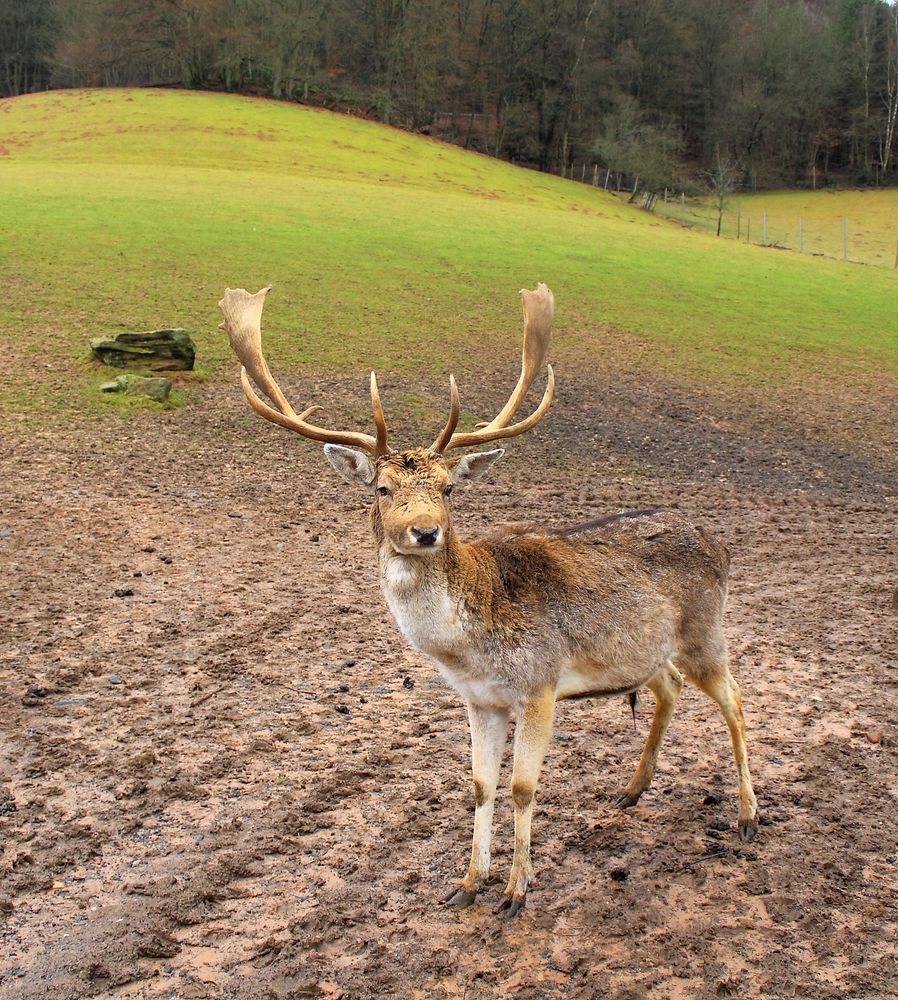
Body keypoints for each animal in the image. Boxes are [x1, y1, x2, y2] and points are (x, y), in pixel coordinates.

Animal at [217, 280, 756, 916]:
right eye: (382, 488)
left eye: (448, 488)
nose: (425, 531)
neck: (468, 647)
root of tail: (720, 541)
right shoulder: (479, 700)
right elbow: (480, 785)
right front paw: (469, 882)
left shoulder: (541, 685)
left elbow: (523, 787)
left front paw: (518, 889)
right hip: (649, 653)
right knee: (669, 687)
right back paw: (631, 790)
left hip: (705, 632)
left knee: (736, 701)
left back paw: (748, 816)